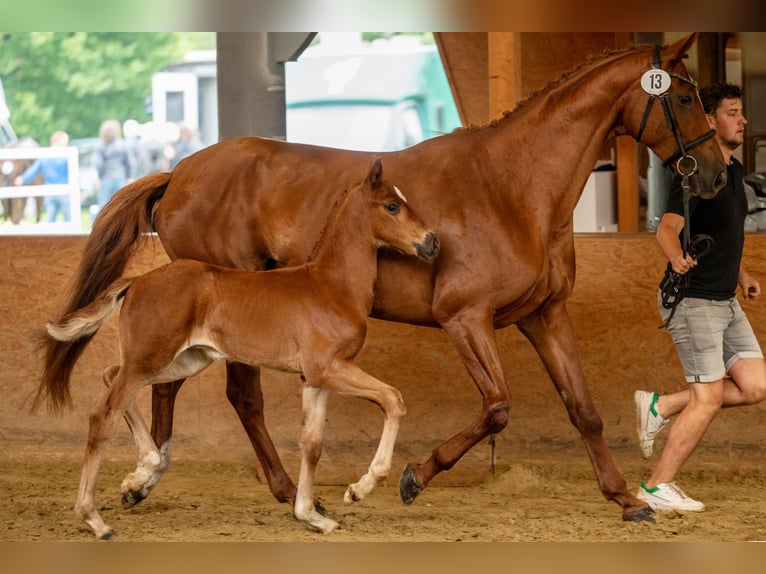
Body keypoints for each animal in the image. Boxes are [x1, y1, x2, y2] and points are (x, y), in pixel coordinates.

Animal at [45, 161, 438, 540]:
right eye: (392, 206)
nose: (432, 242)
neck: (332, 285)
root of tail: (137, 280)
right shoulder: (329, 367)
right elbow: (393, 399)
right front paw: (359, 488)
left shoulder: (314, 379)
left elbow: (312, 444)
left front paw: (312, 516)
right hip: (152, 357)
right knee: (103, 414)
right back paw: (96, 520)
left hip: (182, 359)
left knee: (111, 375)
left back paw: (147, 466)